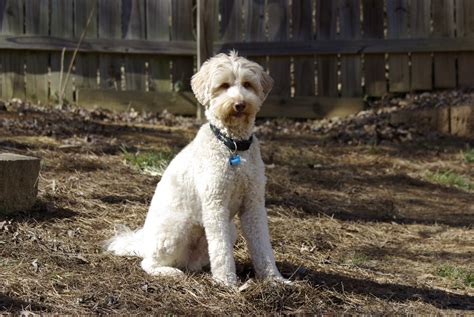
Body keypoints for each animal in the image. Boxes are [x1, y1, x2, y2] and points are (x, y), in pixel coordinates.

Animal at [106, 50, 286, 286]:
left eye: (247, 84)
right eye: (224, 85)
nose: (239, 104)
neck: (233, 146)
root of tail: (143, 243)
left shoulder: (253, 204)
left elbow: (262, 245)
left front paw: (274, 279)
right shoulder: (215, 204)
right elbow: (221, 250)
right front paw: (227, 281)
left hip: (229, 228)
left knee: (196, 260)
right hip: (178, 227)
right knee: (148, 263)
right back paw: (169, 272)